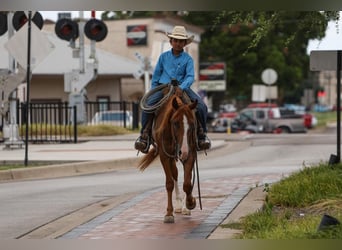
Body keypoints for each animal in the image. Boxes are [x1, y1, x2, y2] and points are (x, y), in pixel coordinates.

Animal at [138, 85, 199, 223]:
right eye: (175, 123)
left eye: (192, 124)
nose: (183, 151)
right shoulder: (164, 156)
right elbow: (169, 183)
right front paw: (169, 213)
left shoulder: (190, 153)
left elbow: (187, 183)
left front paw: (190, 203)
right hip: (172, 156)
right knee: (174, 174)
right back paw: (178, 205)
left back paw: (184, 207)